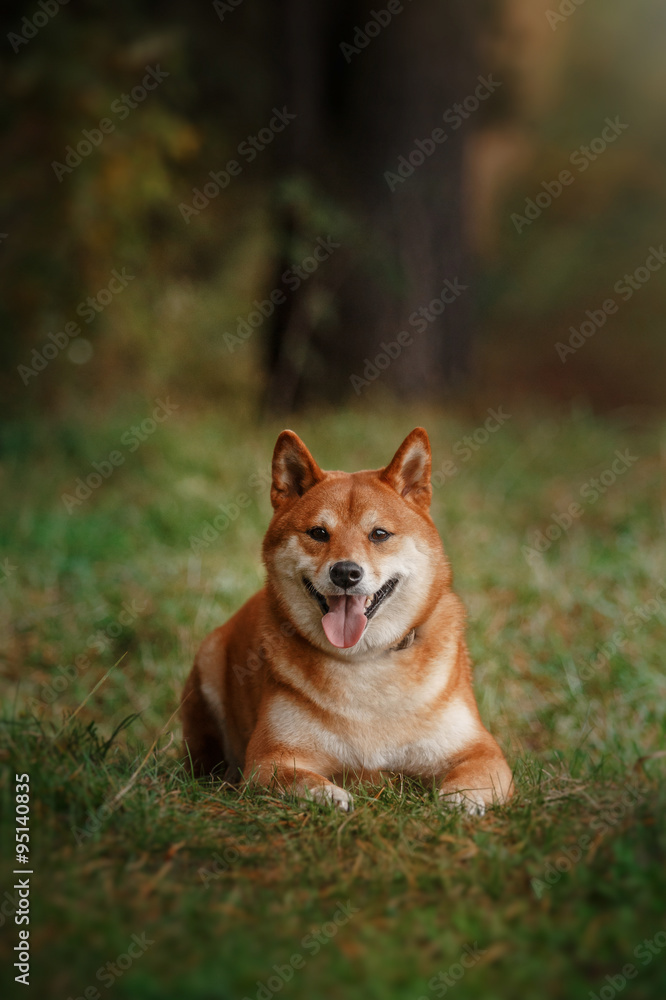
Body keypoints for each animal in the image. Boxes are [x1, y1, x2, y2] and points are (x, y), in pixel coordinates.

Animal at [182, 428, 512, 812]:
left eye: (379, 534)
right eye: (318, 533)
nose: (345, 573)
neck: (363, 661)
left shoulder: (481, 751)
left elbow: (471, 779)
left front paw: (457, 803)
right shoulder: (268, 759)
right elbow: (299, 779)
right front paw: (329, 795)